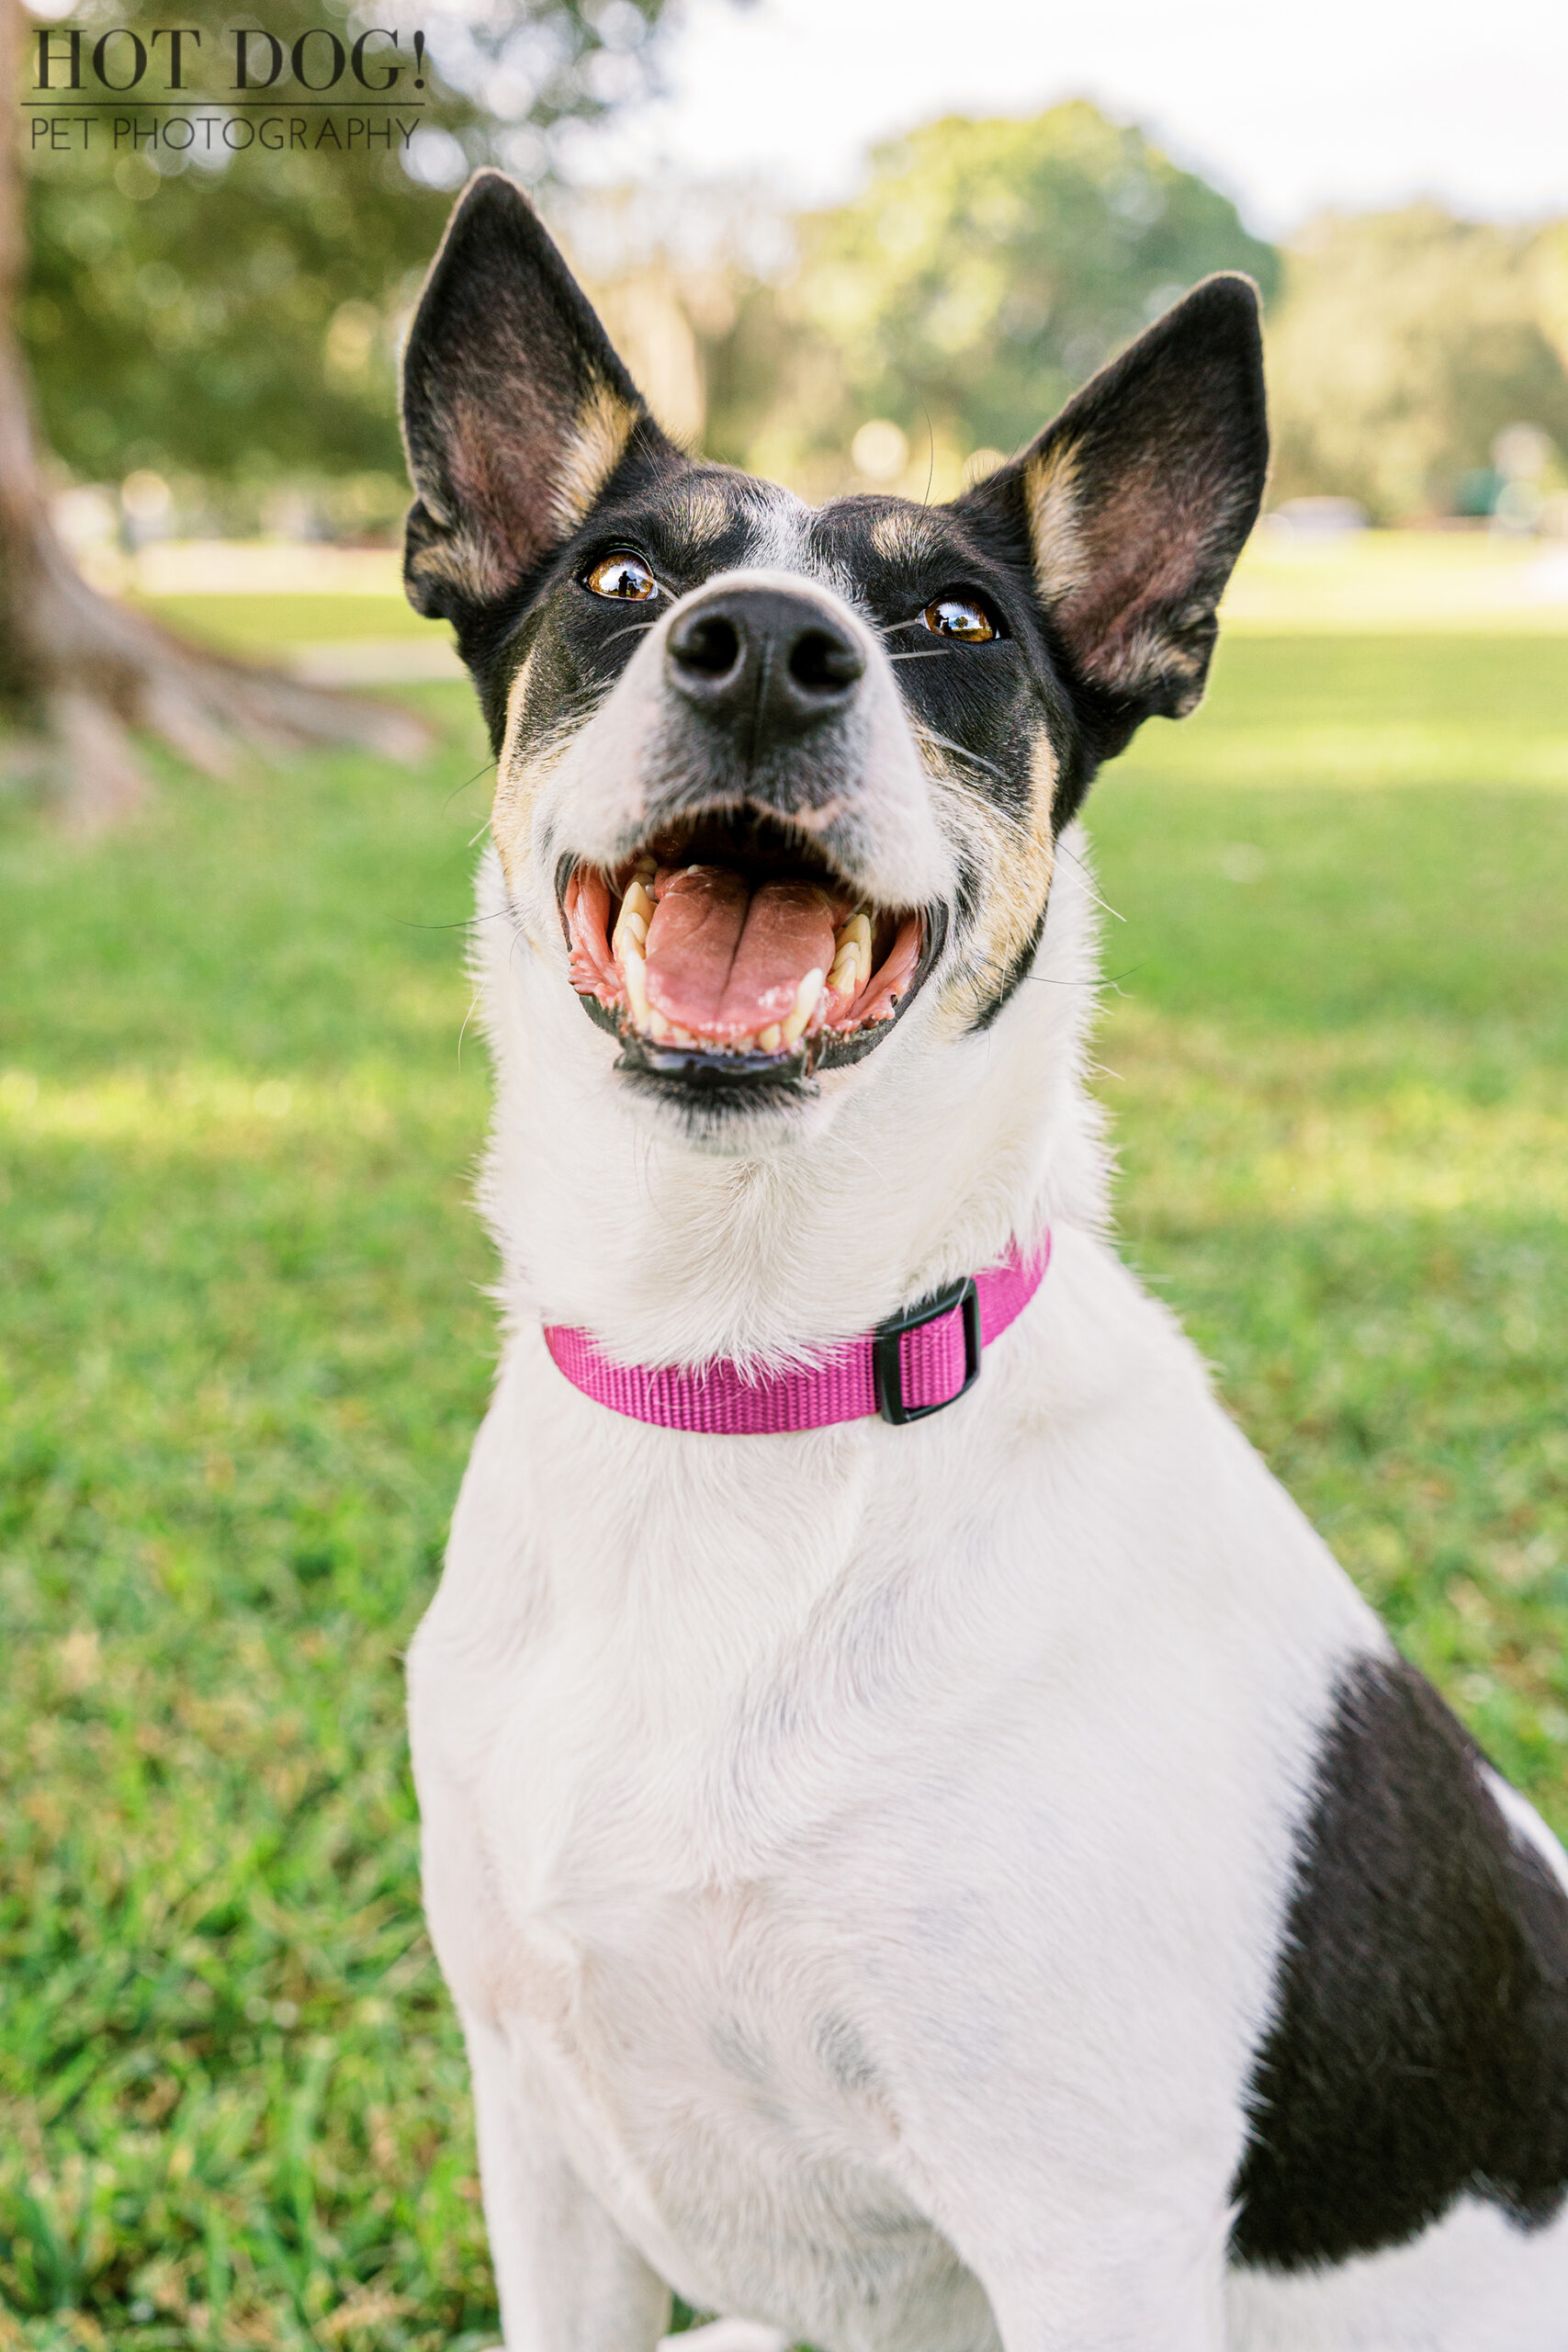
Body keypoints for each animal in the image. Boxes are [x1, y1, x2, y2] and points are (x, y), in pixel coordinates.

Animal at [394, 178, 1568, 2352]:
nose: (766, 654)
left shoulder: (1084, 2230)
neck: (755, 1383)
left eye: (952, 625)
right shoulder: (542, 2132)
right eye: (618, 576)